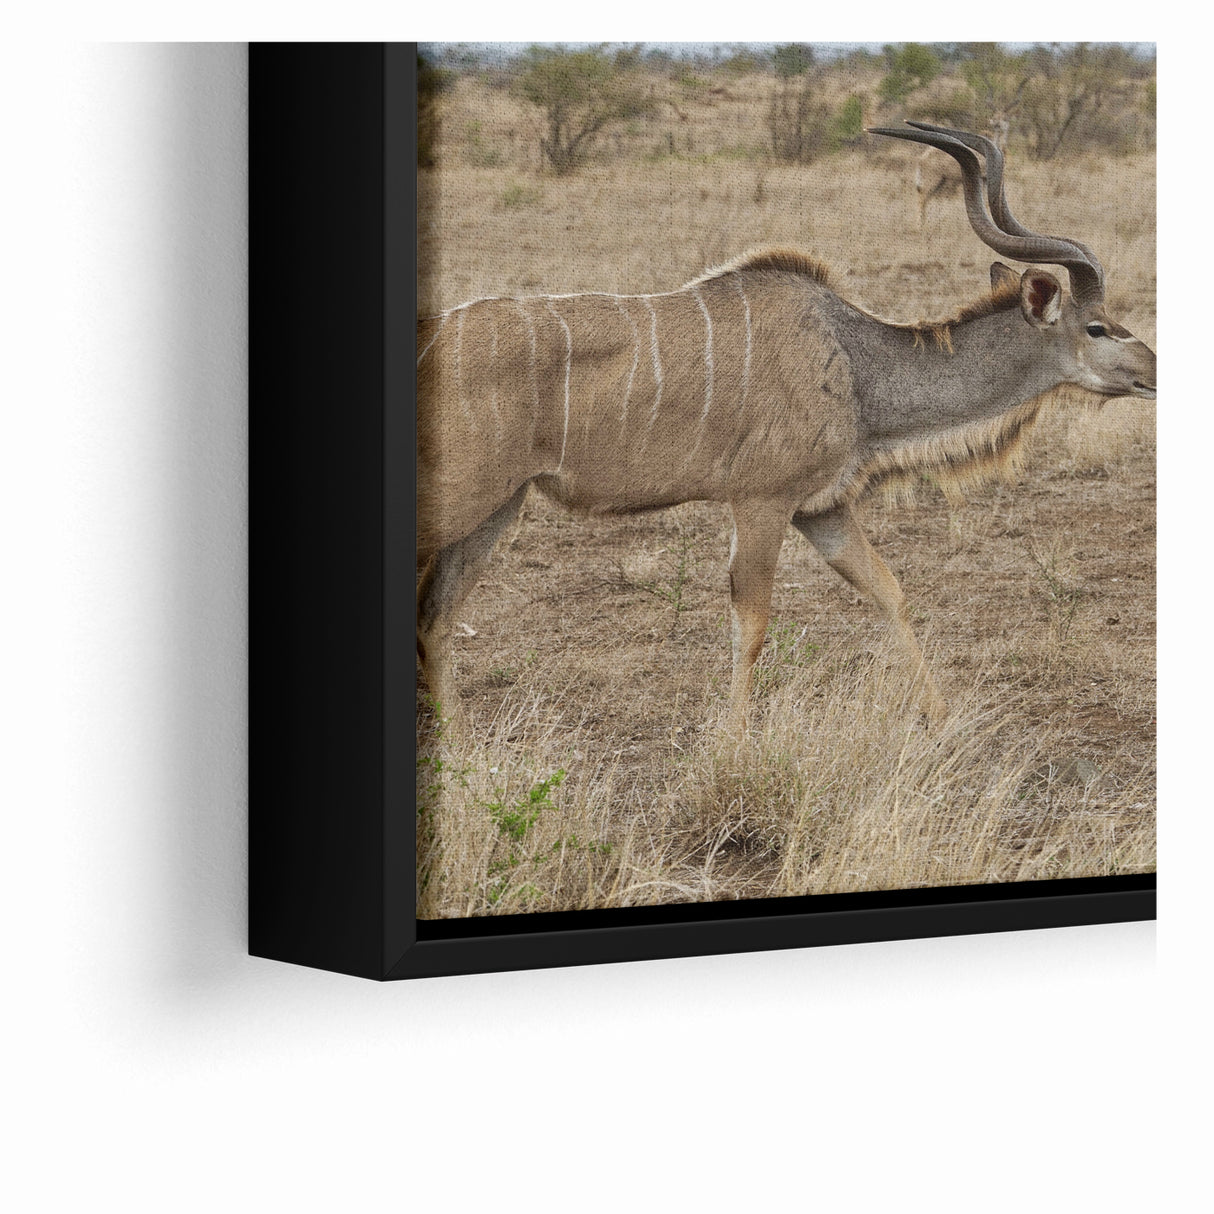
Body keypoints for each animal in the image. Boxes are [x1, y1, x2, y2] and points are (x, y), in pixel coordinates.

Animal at [416, 121, 1156, 735]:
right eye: (1098, 327)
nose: (1152, 369)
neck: (855, 363)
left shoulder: (821, 509)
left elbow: (889, 592)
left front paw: (942, 719)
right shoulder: (761, 501)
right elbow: (752, 624)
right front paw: (735, 746)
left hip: (498, 507)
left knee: (437, 616)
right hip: (463, 500)